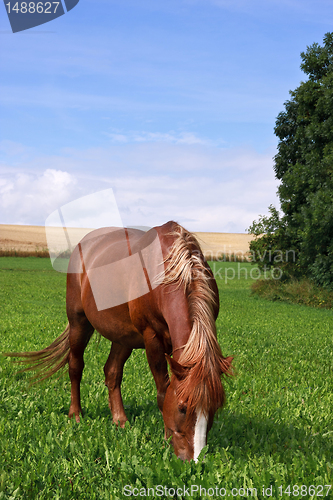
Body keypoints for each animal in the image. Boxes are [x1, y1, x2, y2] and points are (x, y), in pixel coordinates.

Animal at [5, 221, 233, 462]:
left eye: (214, 409)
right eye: (182, 408)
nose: (194, 459)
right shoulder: (152, 339)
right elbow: (163, 391)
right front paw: (165, 438)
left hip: (123, 337)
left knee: (112, 372)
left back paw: (119, 420)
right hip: (79, 322)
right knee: (75, 366)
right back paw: (76, 414)